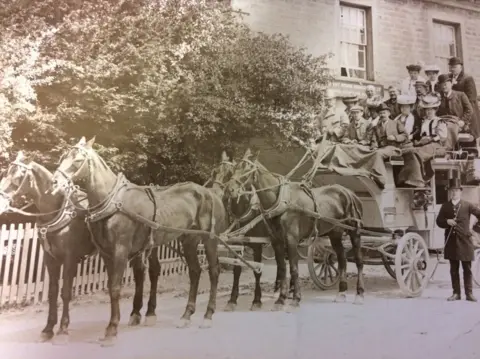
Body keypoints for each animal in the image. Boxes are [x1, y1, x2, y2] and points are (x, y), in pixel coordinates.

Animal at [0, 151, 165, 344]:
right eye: (5, 173)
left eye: (17, 176)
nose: (2, 203)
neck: (58, 209)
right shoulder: (51, 259)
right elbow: (52, 292)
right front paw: (48, 329)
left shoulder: (70, 258)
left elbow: (65, 292)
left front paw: (63, 329)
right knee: (140, 273)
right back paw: (136, 313)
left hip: (149, 246)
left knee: (153, 271)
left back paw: (150, 312)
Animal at [49, 137, 228, 346]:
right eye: (62, 157)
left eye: (77, 160)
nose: (54, 183)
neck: (113, 201)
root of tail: (211, 193)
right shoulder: (106, 253)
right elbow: (112, 286)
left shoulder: (121, 250)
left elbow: (115, 288)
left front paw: (112, 329)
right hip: (189, 240)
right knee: (195, 271)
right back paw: (186, 315)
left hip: (209, 239)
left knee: (214, 271)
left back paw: (208, 315)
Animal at [225, 149, 364, 310]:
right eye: (234, 169)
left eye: (246, 169)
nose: (229, 190)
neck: (281, 201)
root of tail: (350, 193)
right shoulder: (276, 241)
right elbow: (282, 269)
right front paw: (280, 299)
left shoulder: (289, 240)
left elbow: (293, 268)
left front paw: (295, 298)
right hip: (335, 234)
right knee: (341, 259)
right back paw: (341, 292)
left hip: (354, 232)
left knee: (359, 260)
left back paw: (359, 293)